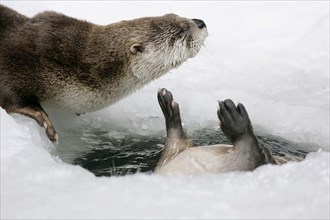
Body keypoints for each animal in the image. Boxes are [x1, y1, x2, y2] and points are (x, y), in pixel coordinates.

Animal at [0, 5, 206, 143]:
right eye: (178, 33)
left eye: (180, 16)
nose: (201, 22)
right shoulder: (20, 58)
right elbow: (11, 94)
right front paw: (45, 122)